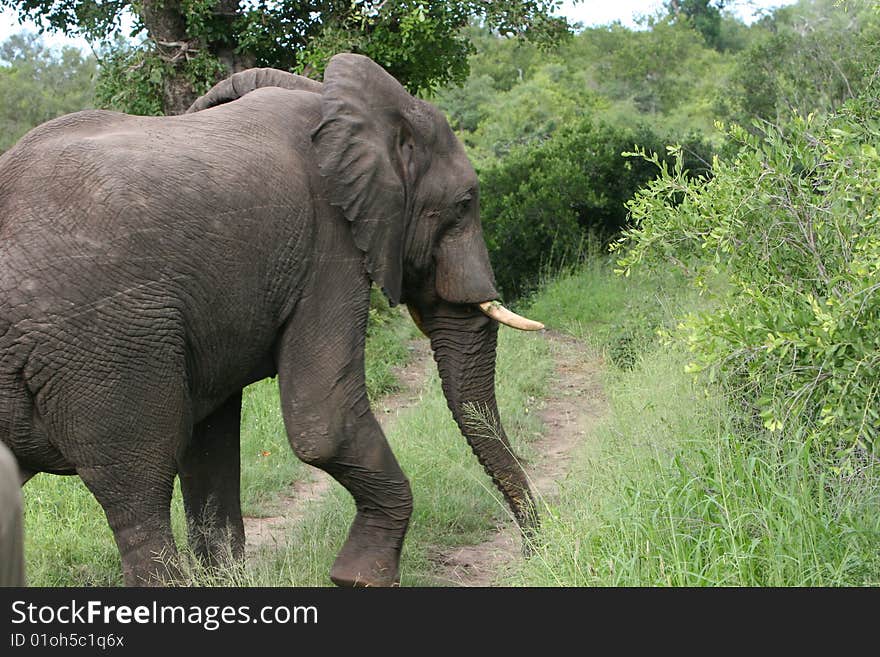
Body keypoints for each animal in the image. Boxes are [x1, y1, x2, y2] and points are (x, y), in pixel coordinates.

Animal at [0, 55, 544, 584]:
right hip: (104, 344)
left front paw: (228, 584)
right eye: (465, 204)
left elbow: (211, 441)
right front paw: (361, 579)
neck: (326, 96)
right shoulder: (329, 243)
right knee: (138, 484)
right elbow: (323, 422)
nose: (532, 553)